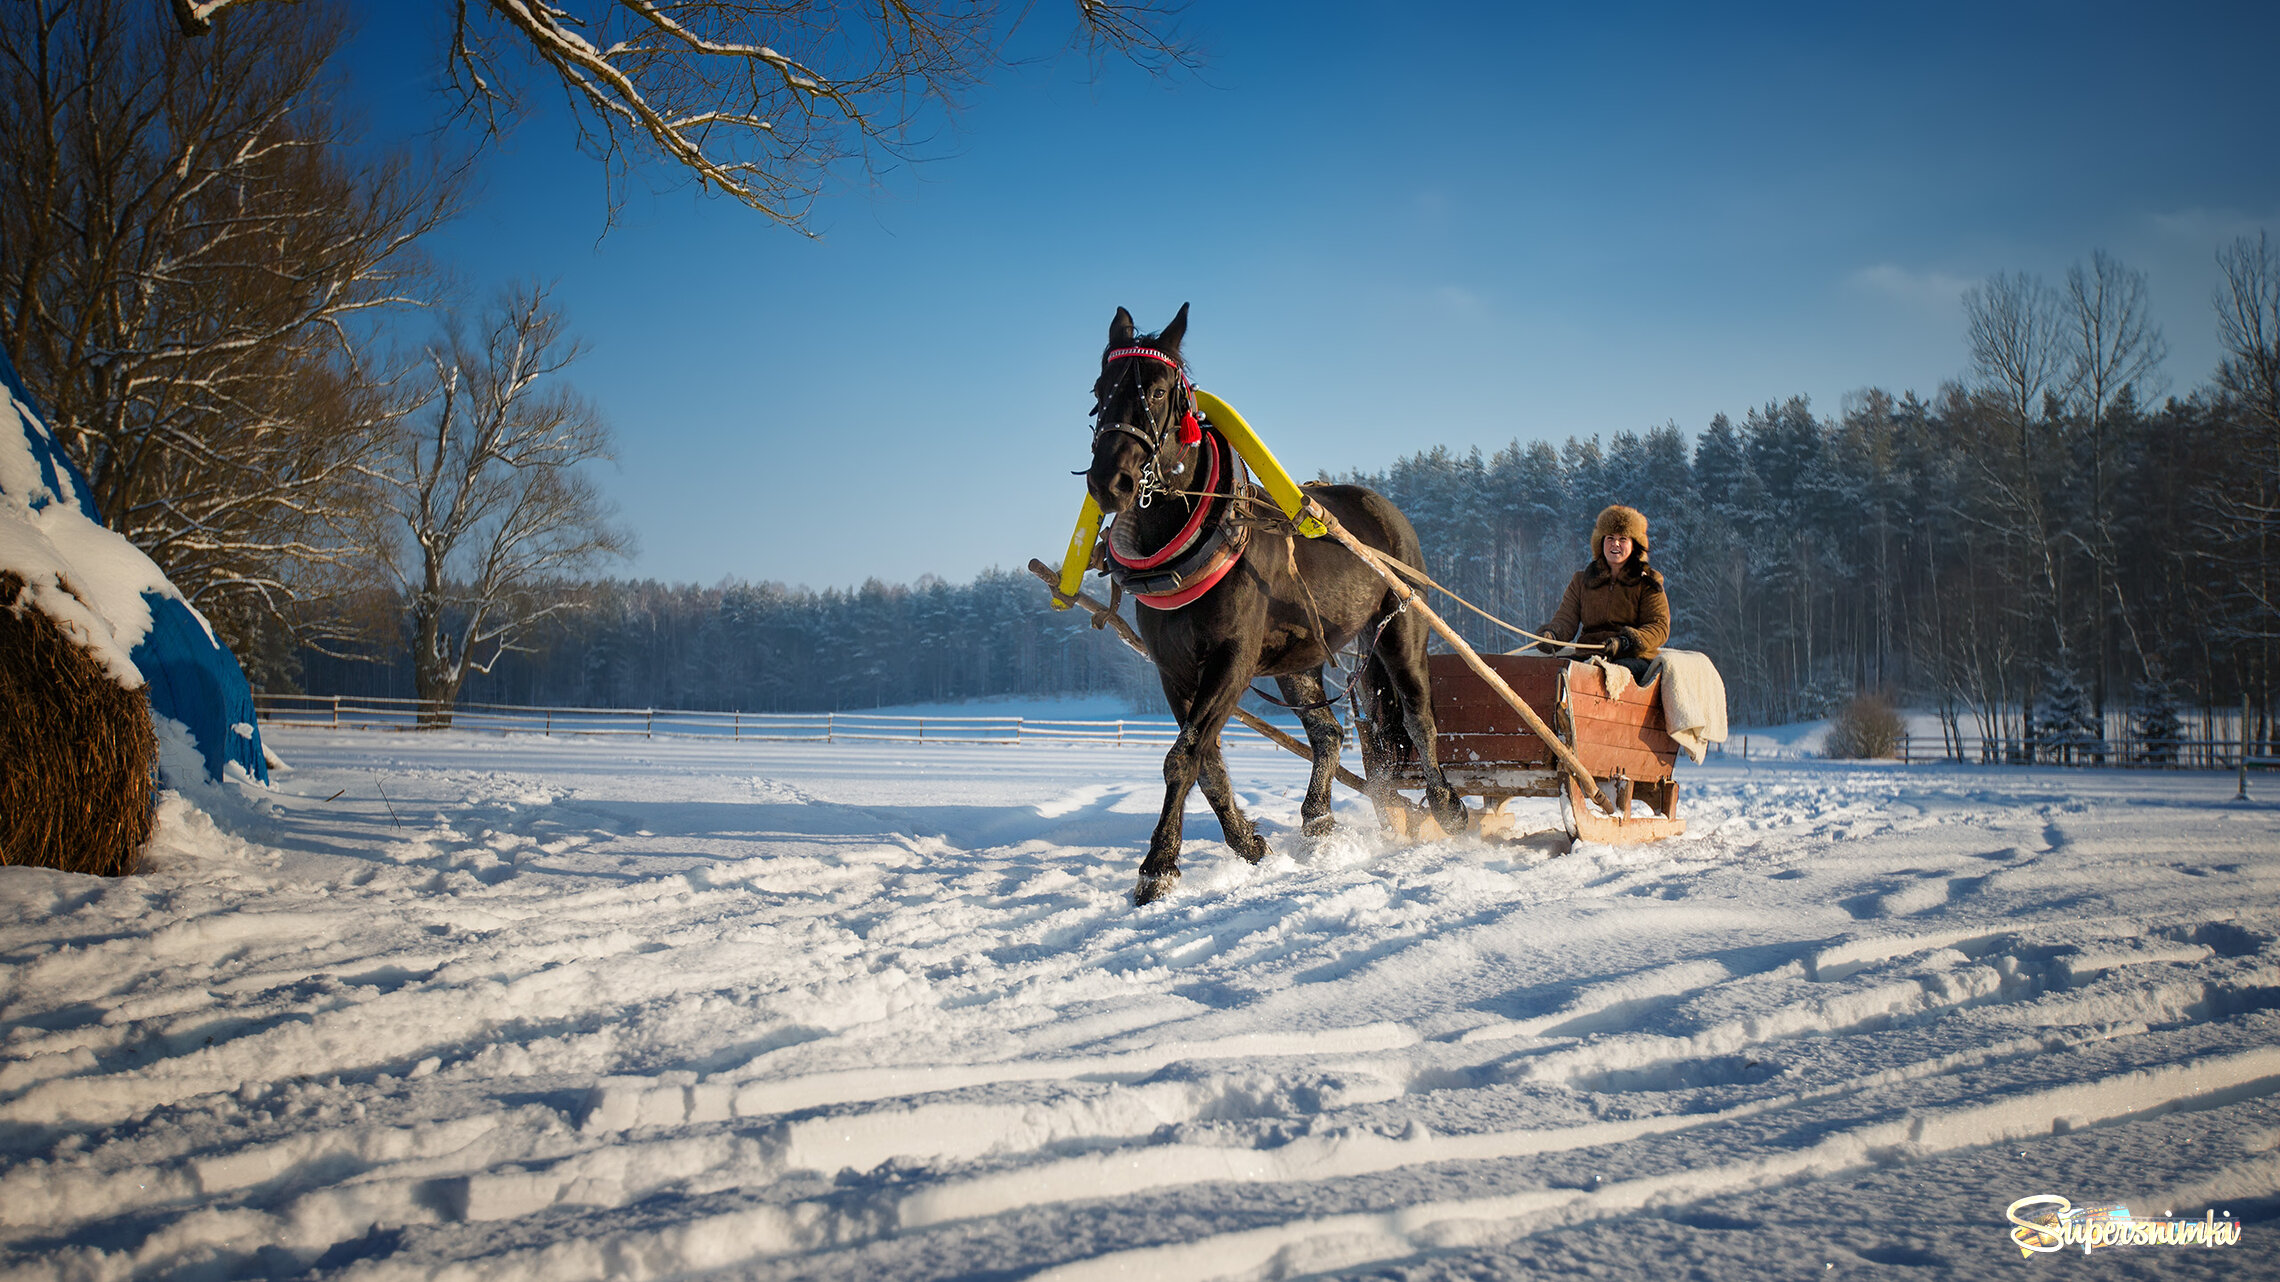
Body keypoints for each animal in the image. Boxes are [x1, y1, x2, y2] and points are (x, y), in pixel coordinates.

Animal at [1080, 301, 1459, 903]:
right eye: (1100, 389)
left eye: (1160, 391)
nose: (1108, 480)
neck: (1198, 535)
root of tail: (1383, 507)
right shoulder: (1174, 670)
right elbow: (1205, 762)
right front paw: (1249, 844)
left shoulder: (1231, 660)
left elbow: (1182, 757)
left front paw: (1157, 867)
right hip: (1297, 661)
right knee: (1329, 734)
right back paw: (1318, 821)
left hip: (1401, 630)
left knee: (1419, 718)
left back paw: (1446, 806)